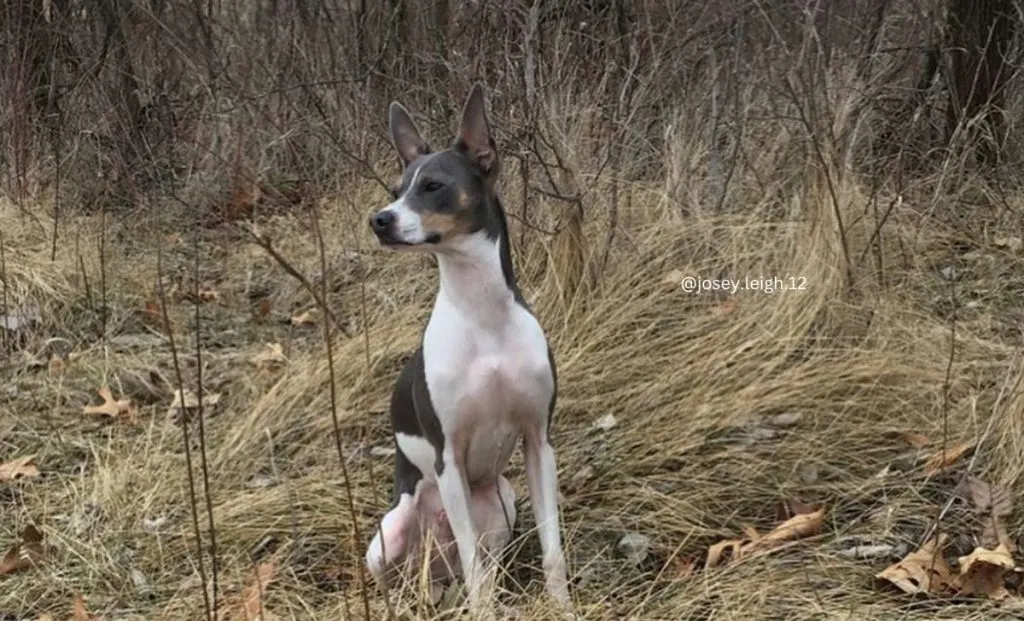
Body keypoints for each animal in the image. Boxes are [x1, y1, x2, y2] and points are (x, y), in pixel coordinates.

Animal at [362, 84, 573, 618]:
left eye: (433, 185)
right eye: (397, 188)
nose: (379, 220)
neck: (484, 318)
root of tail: (437, 565)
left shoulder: (539, 446)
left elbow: (552, 550)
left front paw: (563, 606)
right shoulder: (449, 460)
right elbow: (476, 573)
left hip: (502, 500)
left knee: (484, 561)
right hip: (388, 536)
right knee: (417, 576)